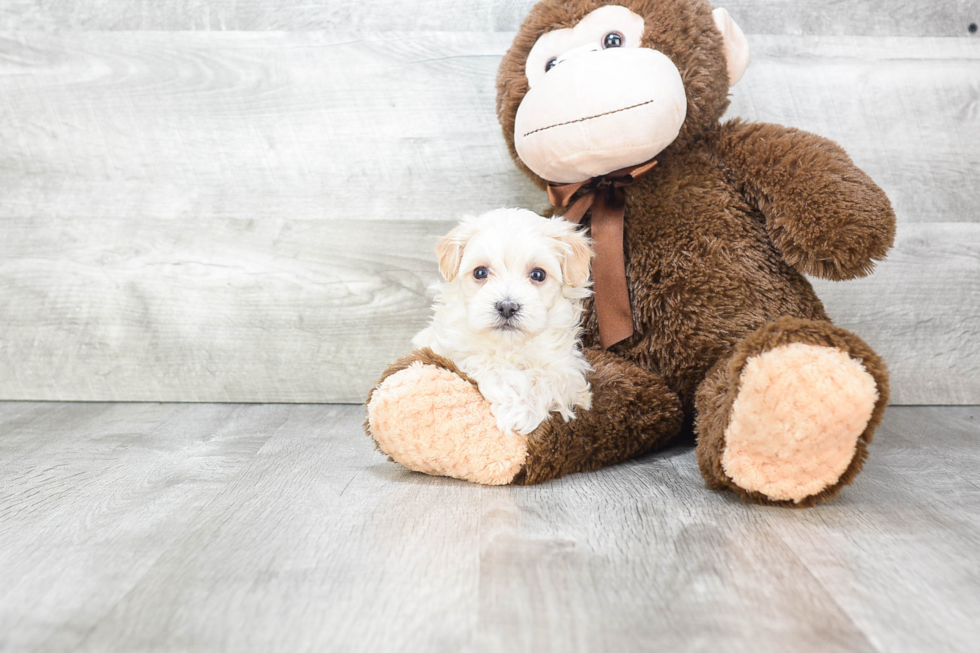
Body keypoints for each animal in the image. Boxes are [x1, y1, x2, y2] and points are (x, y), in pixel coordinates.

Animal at [412, 206, 592, 436]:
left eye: (538, 274)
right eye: (480, 272)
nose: (507, 307)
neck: (509, 345)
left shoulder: (569, 367)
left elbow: (552, 378)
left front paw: (520, 409)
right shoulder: (445, 347)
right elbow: (479, 358)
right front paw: (510, 387)